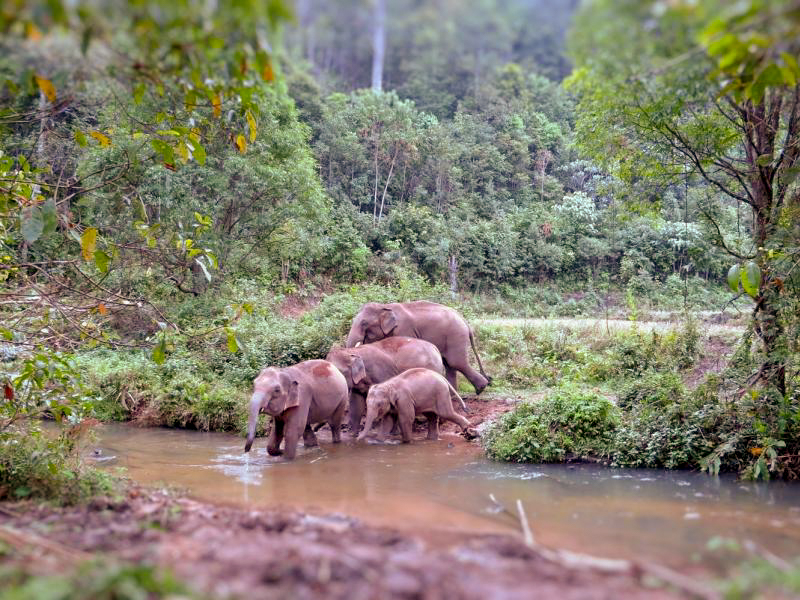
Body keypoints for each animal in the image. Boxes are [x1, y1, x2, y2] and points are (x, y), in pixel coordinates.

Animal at [326, 336, 466, 434]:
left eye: (339, 371)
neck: (352, 352)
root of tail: (435, 349)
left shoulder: (382, 373)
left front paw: (393, 433)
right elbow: (357, 403)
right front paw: (352, 437)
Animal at [346, 300, 490, 394]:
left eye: (364, 323)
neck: (385, 306)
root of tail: (465, 321)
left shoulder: (404, 329)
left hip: (455, 336)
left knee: (456, 362)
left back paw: (481, 388)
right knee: (450, 364)